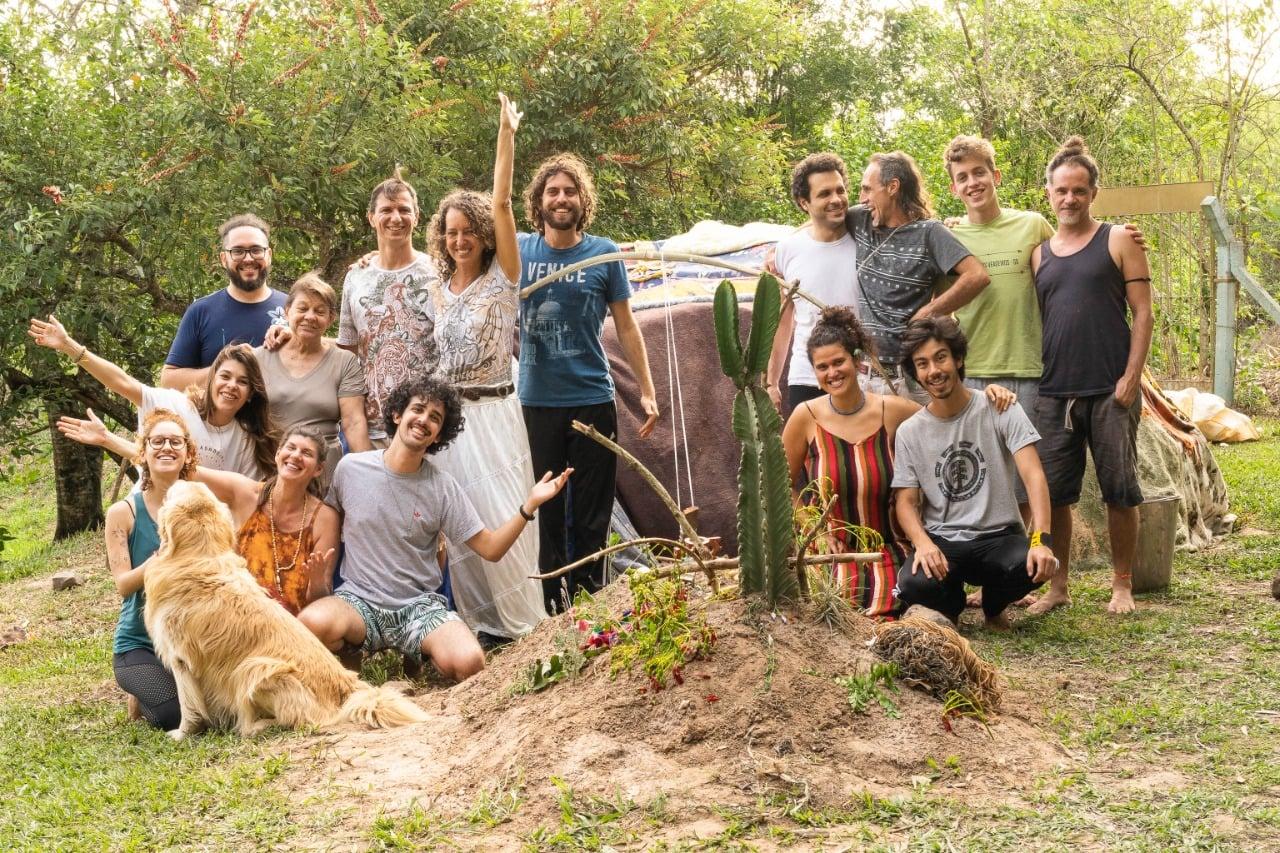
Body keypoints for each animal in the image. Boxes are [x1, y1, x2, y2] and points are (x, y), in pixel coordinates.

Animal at [143, 481, 427, 732]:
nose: (180, 477)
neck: (199, 555)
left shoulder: (180, 658)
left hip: (255, 669)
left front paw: (182, 734)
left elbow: (188, 708)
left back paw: (253, 726)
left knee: (296, 720)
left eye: (174, 492)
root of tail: (349, 685)